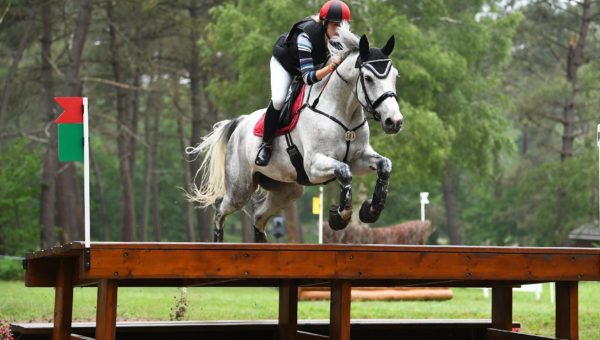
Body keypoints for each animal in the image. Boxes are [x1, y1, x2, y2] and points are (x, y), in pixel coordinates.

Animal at [188, 24, 404, 242]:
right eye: (368, 78)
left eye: (395, 76)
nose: (394, 121)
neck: (343, 114)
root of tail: (240, 123)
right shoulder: (313, 165)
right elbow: (344, 172)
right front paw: (340, 217)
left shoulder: (358, 158)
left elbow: (385, 165)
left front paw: (371, 210)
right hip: (240, 187)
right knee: (220, 207)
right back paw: (218, 240)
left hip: (288, 188)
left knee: (259, 216)